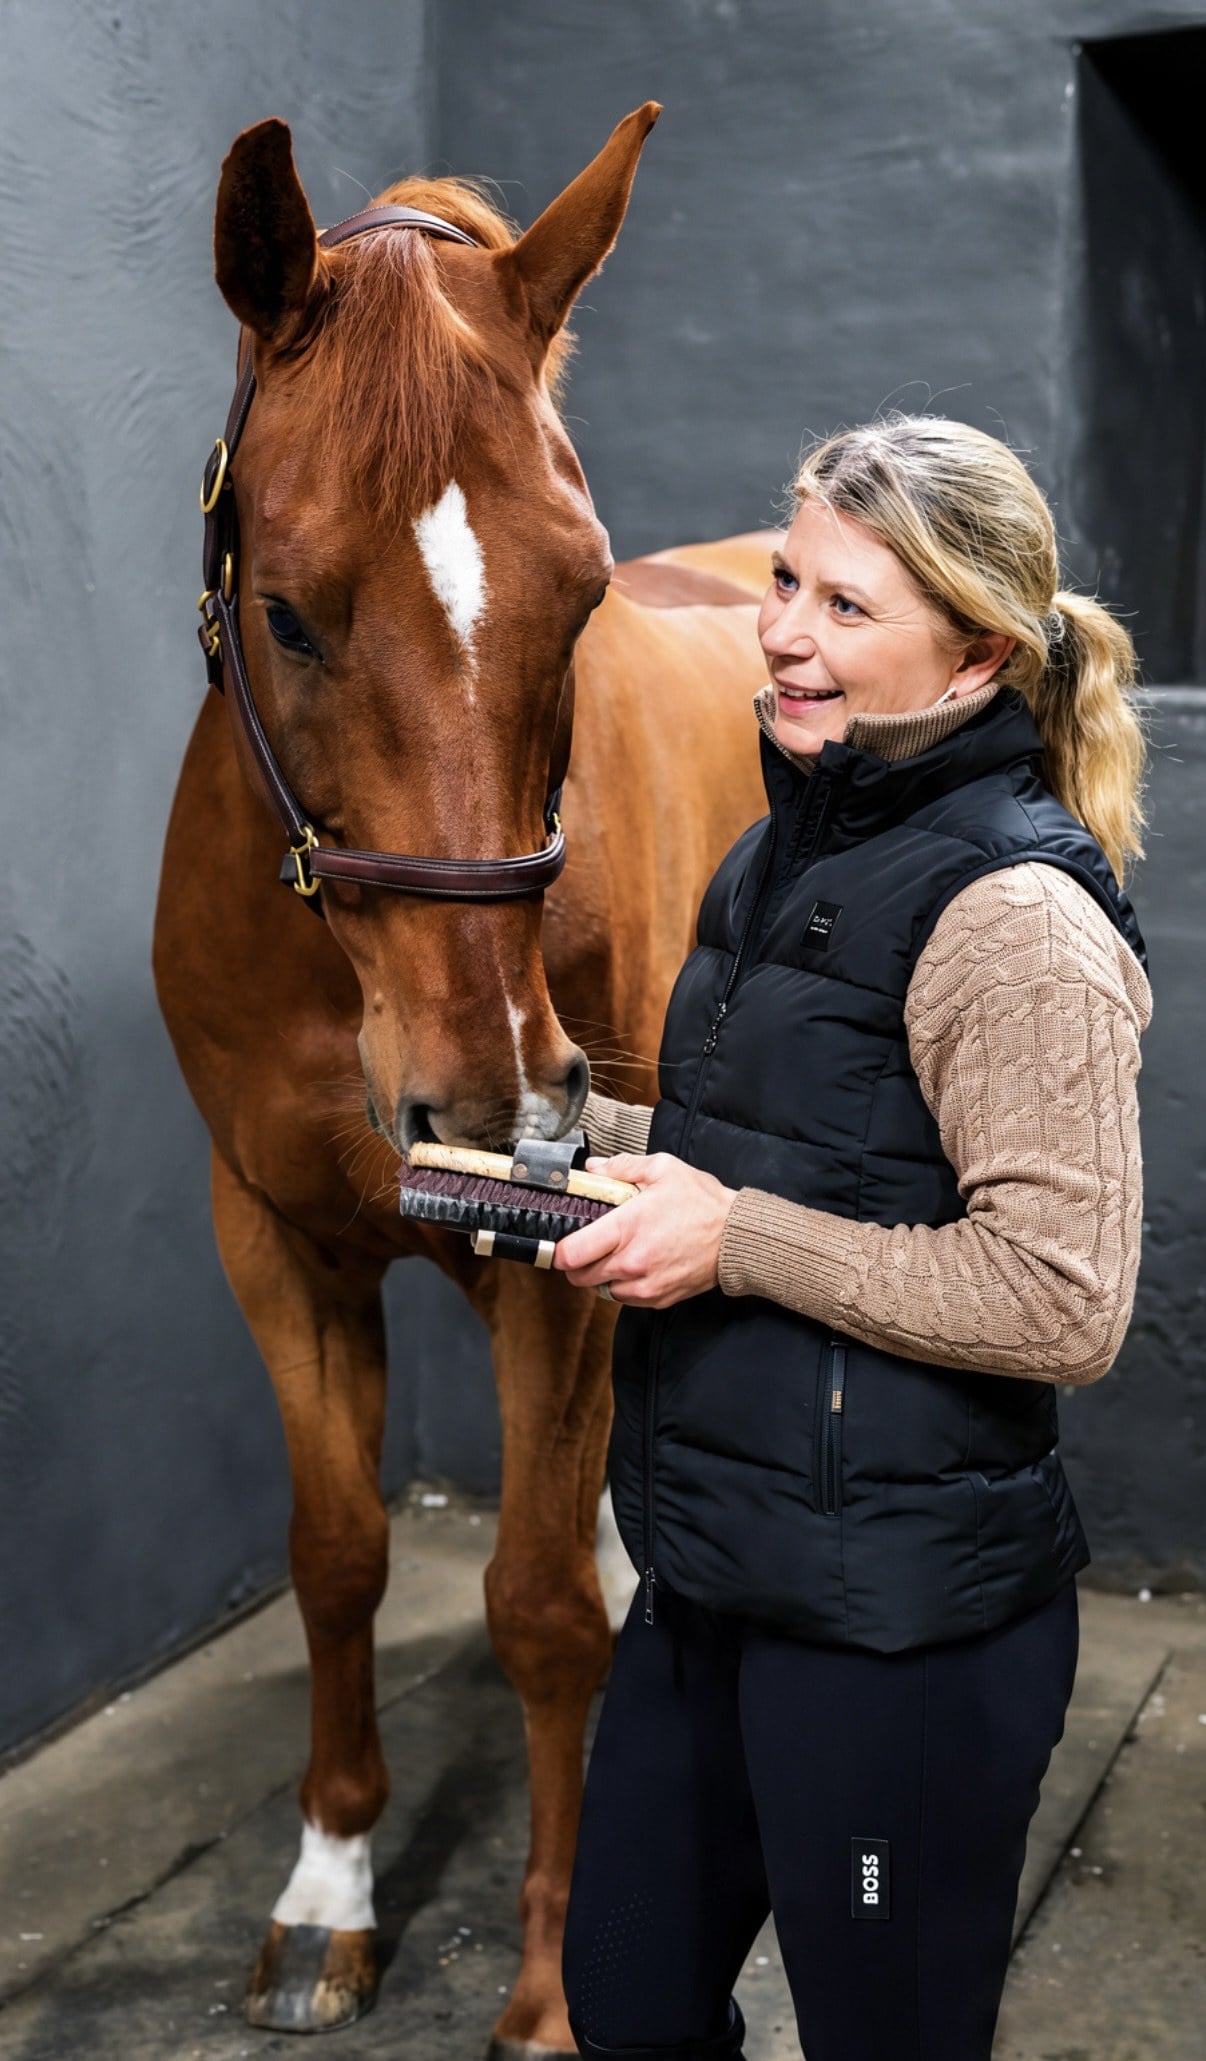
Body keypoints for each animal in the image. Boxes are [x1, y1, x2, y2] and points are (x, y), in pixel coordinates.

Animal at [153, 106, 772, 2058]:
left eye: (581, 594)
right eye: (285, 609)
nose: (496, 1100)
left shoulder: (553, 1266)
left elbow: (538, 1604)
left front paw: (557, 1987)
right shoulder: (270, 1238)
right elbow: (339, 1552)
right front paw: (327, 1892)